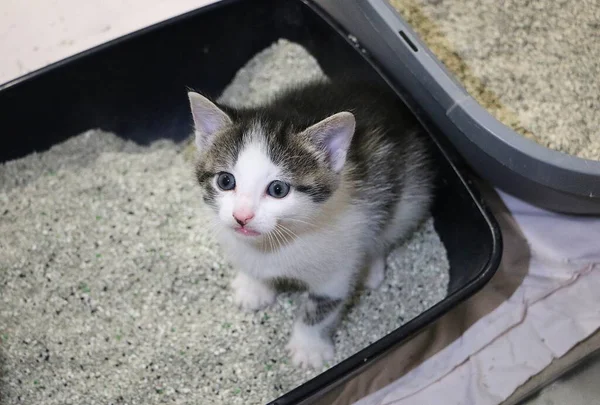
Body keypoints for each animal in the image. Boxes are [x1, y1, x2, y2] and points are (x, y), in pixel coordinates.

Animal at [189, 79, 436, 370]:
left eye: (278, 189)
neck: (277, 242)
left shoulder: (336, 266)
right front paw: (252, 288)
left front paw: (308, 349)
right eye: (225, 181)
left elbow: (322, 307)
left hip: (410, 197)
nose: (242, 216)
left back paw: (370, 268)